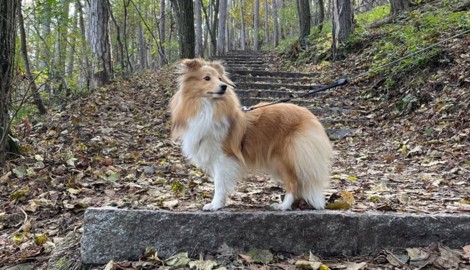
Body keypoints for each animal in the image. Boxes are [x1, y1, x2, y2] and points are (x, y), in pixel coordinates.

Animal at [171, 59, 332, 211]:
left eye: (220, 78)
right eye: (207, 78)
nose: (224, 87)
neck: (208, 106)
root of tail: (309, 115)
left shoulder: (224, 157)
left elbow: (220, 184)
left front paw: (215, 205)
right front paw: (219, 204)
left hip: (286, 157)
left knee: (293, 183)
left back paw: (283, 206)